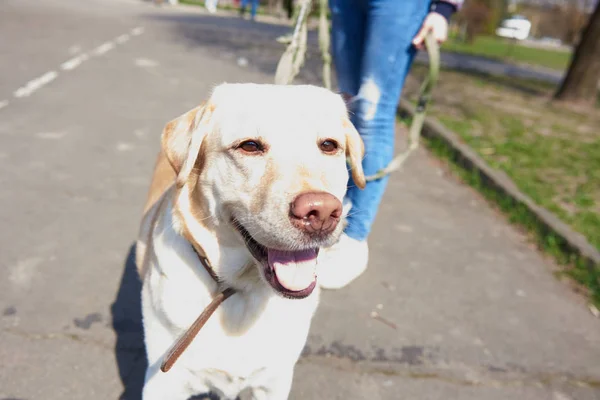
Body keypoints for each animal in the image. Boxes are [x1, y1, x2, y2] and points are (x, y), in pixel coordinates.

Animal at [136, 83, 366, 398]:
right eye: (249, 146)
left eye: (329, 145)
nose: (320, 212)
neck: (241, 290)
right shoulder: (162, 383)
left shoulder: (273, 382)